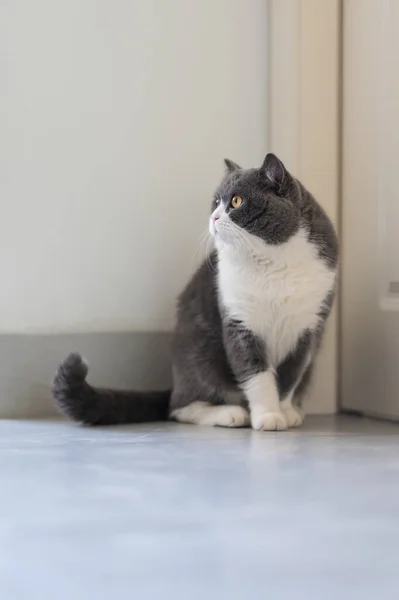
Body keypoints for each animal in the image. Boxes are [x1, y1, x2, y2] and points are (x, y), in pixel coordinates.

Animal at [53, 152, 340, 428]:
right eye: (215, 202)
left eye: (236, 201)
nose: (214, 217)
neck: (272, 263)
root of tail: (175, 381)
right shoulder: (239, 321)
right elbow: (255, 373)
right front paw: (267, 416)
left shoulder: (308, 328)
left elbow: (290, 377)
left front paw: (283, 411)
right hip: (198, 357)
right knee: (179, 407)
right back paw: (231, 414)